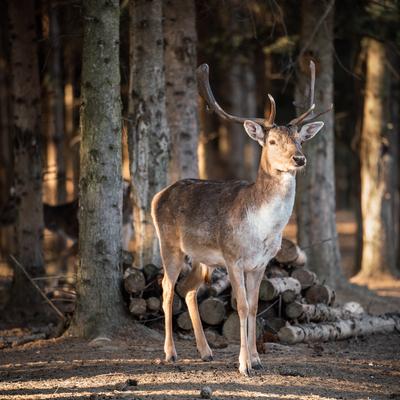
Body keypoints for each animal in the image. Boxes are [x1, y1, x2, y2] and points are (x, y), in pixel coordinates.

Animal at [152, 61, 326, 376]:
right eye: (272, 141)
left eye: (299, 140)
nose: (299, 159)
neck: (262, 229)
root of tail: (158, 195)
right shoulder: (233, 257)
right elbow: (241, 306)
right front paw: (244, 365)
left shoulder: (261, 263)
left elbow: (255, 306)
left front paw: (257, 359)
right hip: (169, 244)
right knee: (167, 289)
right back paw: (170, 353)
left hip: (204, 259)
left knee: (189, 290)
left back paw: (205, 351)